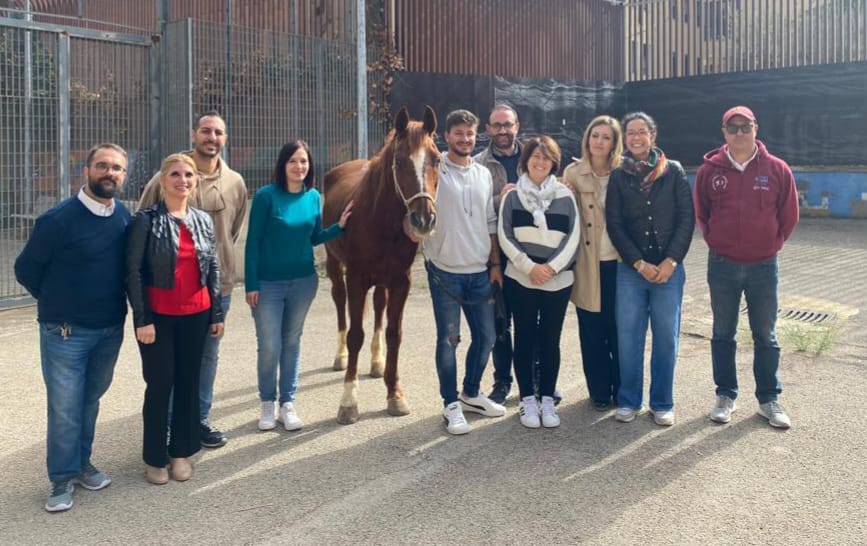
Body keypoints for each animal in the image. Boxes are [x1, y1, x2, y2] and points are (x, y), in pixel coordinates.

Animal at [320, 104, 440, 422]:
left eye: (436, 159)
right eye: (399, 161)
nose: (423, 219)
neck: (380, 221)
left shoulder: (400, 281)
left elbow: (394, 333)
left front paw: (395, 394)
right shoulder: (357, 279)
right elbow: (355, 335)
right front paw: (348, 401)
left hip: (382, 282)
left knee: (378, 308)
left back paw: (376, 361)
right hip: (335, 268)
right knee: (340, 304)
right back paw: (340, 357)